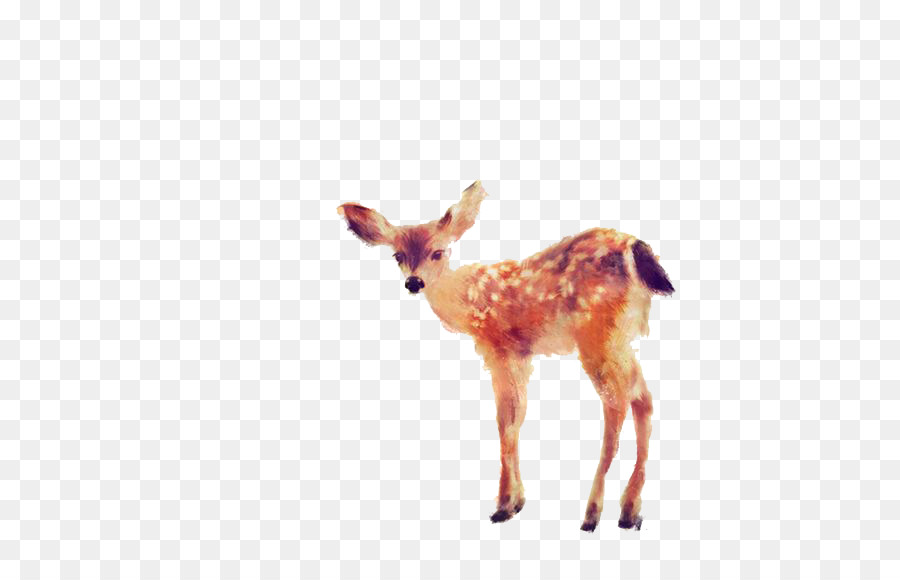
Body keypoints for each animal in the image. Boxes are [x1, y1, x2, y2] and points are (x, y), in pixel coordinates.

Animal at [337, 181, 674, 531]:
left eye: (437, 252)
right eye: (398, 255)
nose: (414, 282)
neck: (470, 301)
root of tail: (637, 250)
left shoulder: (501, 350)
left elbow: (506, 420)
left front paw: (504, 505)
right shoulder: (521, 354)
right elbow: (516, 418)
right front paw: (518, 500)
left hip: (596, 333)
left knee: (616, 403)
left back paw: (592, 514)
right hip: (620, 336)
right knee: (642, 398)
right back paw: (629, 511)